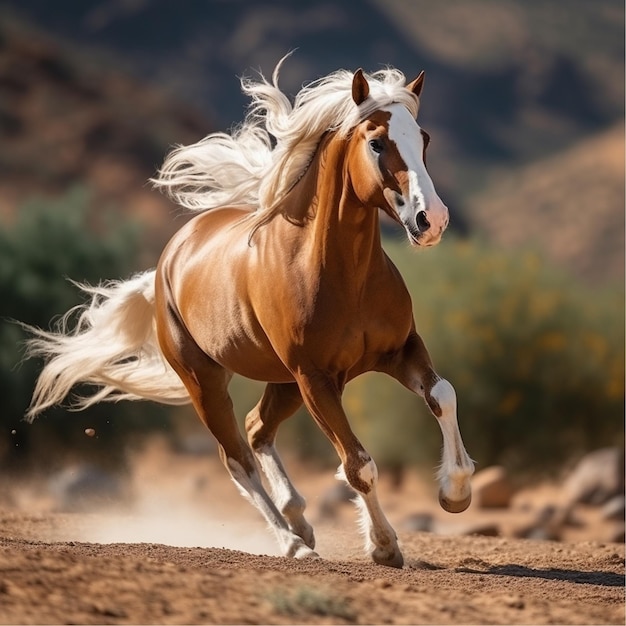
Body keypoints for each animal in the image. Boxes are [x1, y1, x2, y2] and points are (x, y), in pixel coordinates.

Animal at [24, 58, 472, 564]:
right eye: (377, 142)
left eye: (424, 139)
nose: (432, 220)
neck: (341, 272)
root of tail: (170, 257)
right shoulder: (316, 379)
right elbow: (359, 464)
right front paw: (384, 546)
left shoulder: (399, 351)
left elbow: (444, 395)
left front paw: (455, 493)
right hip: (208, 382)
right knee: (236, 457)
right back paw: (293, 543)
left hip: (283, 382)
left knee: (257, 429)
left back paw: (300, 520)